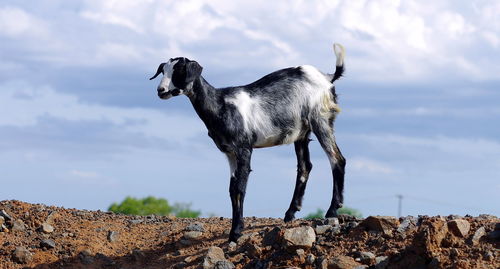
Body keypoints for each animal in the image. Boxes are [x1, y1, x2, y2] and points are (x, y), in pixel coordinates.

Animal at [150, 43, 346, 241]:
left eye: (180, 70)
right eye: (163, 70)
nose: (161, 91)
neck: (221, 105)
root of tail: (327, 77)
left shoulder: (244, 148)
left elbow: (239, 188)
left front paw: (236, 231)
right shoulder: (230, 153)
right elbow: (231, 190)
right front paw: (235, 229)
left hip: (321, 119)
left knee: (337, 159)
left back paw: (331, 211)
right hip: (301, 133)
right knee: (305, 166)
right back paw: (290, 213)